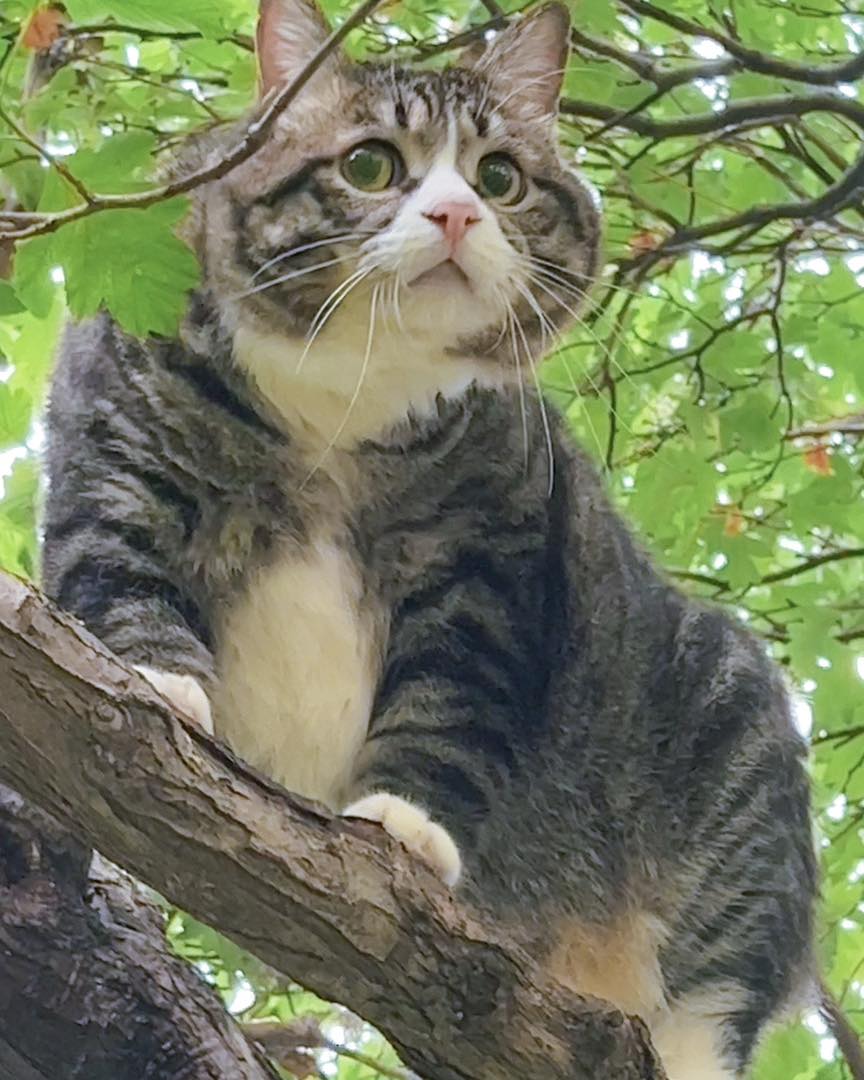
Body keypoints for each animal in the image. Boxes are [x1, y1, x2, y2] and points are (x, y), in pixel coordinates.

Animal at [40, 4, 816, 1075]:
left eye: (500, 177)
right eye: (371, 164)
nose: (456, 215)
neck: (352, 386)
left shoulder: (489, 561)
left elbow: (451, 699)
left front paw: (404, 824)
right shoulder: (115, 453)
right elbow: (117, 573)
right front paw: (153, 682)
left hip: (728, 725)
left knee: (710, 996)